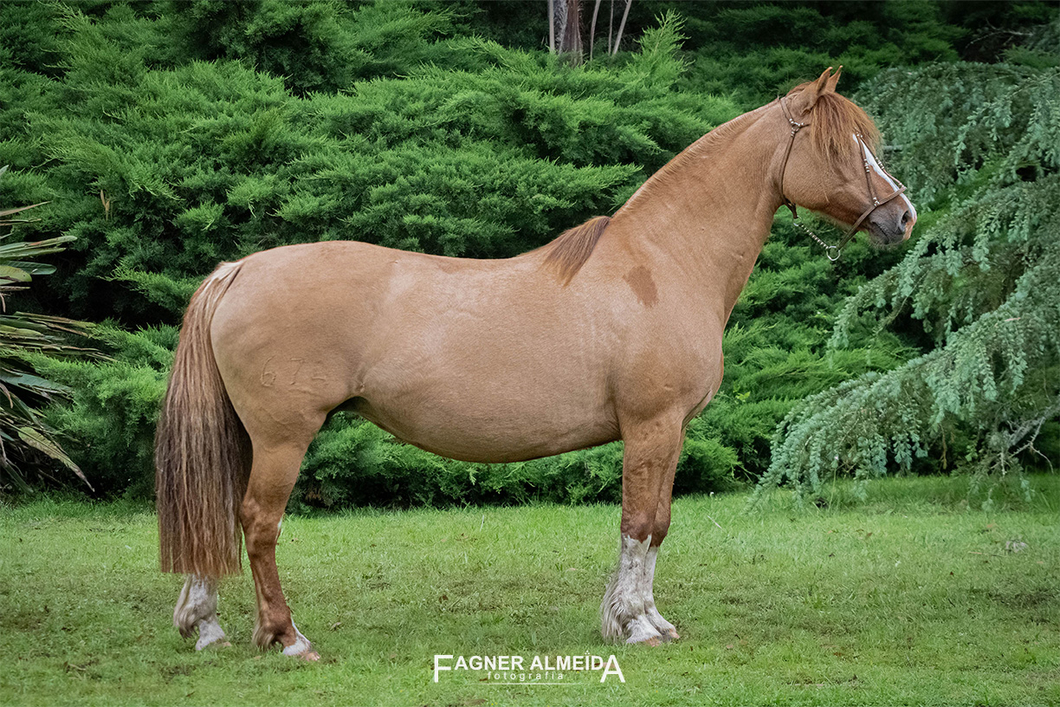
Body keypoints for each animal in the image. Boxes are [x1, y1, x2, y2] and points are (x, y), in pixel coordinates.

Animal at [154, 68, 911, 661]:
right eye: (841, 146)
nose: (901, 216)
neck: (662, 264)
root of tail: (236, 271)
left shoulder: (667, 432)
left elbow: (657, 522)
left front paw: (646, 619)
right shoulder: (653, 425)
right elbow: (642, 522)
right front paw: (636, 626)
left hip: (243, 435)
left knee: (217, 514)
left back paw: (206, 627)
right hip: (283, 437)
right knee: (257, 521)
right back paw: (287, 637)